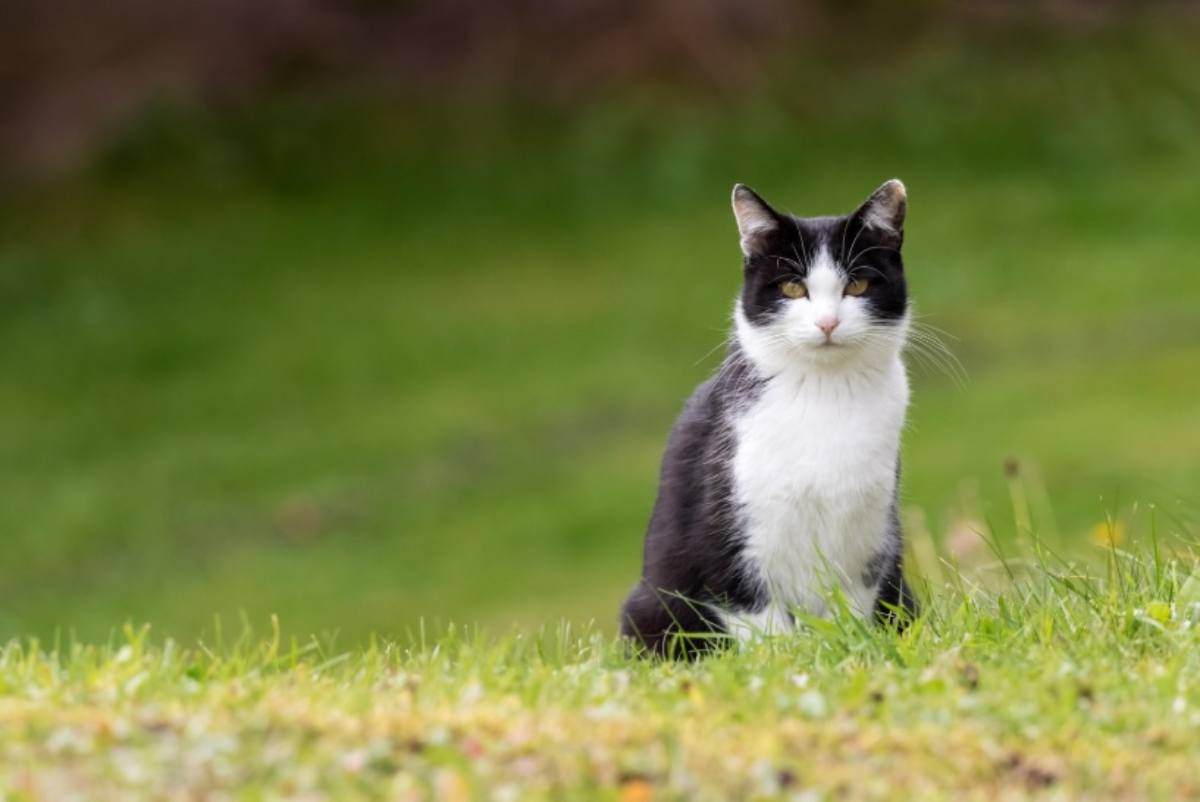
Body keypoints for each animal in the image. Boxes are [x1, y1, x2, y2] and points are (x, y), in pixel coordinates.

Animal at [619, 180, 916, 657]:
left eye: (858, 284)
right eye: (793, 288)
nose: (827, 323)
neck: (824, 395)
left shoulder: (870, 535)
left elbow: (853, 606)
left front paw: (850, 650)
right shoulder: (727, 536)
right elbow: (760, 620)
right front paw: (787, 662)